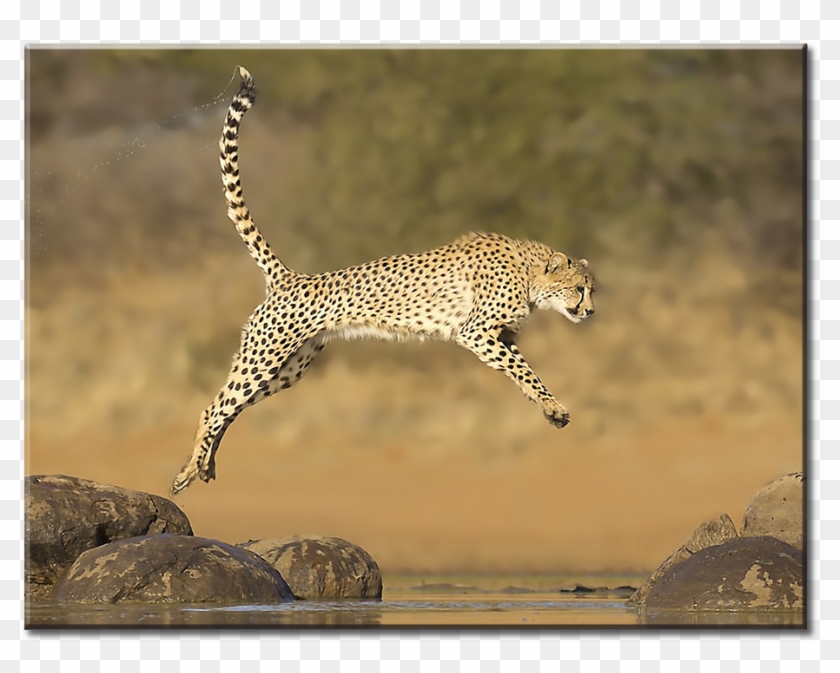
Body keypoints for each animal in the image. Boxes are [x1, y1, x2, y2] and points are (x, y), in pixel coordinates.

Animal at [171, 67, 596, 495]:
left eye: (592, 290)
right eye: (579, 289)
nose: (590, 311)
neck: (529, 273)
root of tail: (290, 277)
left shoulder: (500, 337)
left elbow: (523, 370)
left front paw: (550, 410)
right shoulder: (474, 332)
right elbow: (523, 370)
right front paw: (555, 407)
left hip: (289, 368)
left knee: (229, 408)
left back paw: (204, 467)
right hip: (266, 355)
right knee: (214, 407)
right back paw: (189, 470)